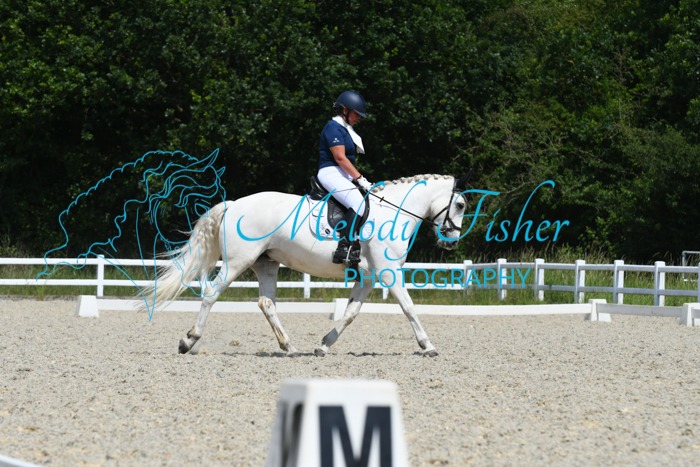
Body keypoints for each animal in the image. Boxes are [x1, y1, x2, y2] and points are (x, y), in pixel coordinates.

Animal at [145, 174, 468, 356]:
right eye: (461, 205)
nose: (451, 242)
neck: (394, 211)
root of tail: (234, 204)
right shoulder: (389, 273)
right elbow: (409, 307)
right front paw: (428, 346)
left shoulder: (367, 277)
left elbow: (350, 313)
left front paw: (323, 345)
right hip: (238, 262)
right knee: (211, 294)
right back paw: (188, 341)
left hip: (266, 264)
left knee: (266, 303)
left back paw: (289, 347)